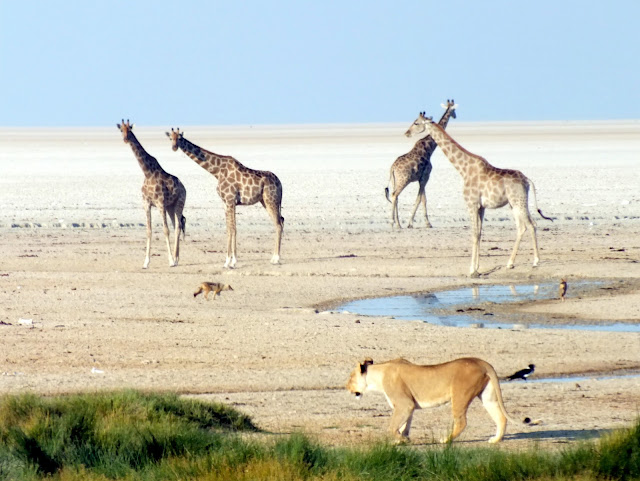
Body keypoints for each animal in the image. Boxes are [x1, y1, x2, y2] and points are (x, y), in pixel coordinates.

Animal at [116, 119, 186, 268]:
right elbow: (148, 230)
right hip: (170, 207)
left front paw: (170, 261)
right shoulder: (146, 203)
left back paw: (175, 260)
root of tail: (184, 187)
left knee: (178, 226)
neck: (147, 172)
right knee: (177, 225)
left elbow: (165, 230)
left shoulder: (160, 203)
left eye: (130, 129)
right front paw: (146, 262)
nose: (125, 139)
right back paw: (177, 258)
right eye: (121, 130)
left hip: (179, 203)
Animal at [168, 127, 282, 268]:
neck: (217, 171)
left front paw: (232, 261)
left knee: (278, 224)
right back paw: (274, 257)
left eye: (179, 138)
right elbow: (229, 229)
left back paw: (276, 259)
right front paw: (228, 261)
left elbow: (233, 229)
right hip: (265, 201)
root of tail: (280, 183)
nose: (174, 147)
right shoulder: (225, 202)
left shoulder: (230, 200)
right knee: (280, 221)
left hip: (271, 200)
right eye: (170, 138)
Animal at [382, 98, 458, 228]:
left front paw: (420, 222)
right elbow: (421, 199)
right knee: (394, 195)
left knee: (395, 197)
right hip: (403, 180)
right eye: (453, 109)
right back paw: (394, 223)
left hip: (394, 180)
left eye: (416, 123)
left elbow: (422, 198)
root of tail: (392, 168)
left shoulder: (421, 178)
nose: (407, 133)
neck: (429, 148)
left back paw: (397, 223)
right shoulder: (425, 176)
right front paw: (419, 223)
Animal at [404, 115, 552, 278]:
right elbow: (480, 233)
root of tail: (527, 180)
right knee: (522, 227)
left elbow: (474, 234)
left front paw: (471, 270)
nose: (407, 133)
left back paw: (536, 261)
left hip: (518, 201)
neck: (463, 170)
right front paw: (477, 267)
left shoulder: (472, 204)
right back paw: (510, 263)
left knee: (531, 225)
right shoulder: (481, 207)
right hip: (514, 204)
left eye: (416, 123)